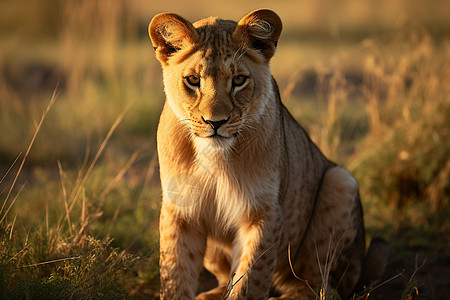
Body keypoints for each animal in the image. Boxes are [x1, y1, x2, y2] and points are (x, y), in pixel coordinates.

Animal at [149, 8, 388, 298]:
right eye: (193, 80)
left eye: (239, 80)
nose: (215, 122)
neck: (215, 158)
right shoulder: (180, 210)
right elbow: (175, 276)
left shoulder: (264, 213)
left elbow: (250, 281)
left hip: (341, 182)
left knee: (322, 286)